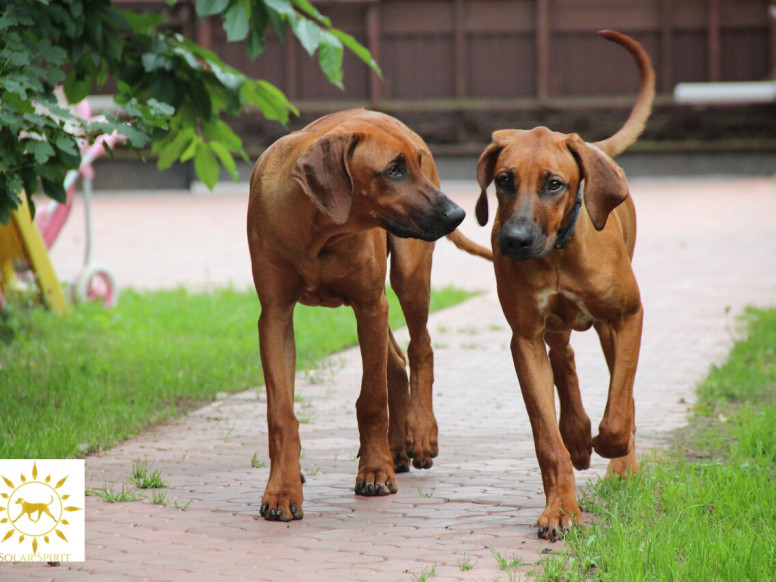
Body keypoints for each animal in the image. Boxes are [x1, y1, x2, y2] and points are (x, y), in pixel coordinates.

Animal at [249, 107, 492, 524]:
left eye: (415, 164)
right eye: (393, 170)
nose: (457, 214)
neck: (319, 229)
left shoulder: (369, 304)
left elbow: (372, 399)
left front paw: (375, 471)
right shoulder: (275, 316)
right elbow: (281, 412)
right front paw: (282, 488)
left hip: (409, 275)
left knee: (420, 348)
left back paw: (420, 434)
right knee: (394, 359)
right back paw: (398, 447)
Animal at [472, 30, 656, 544]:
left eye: (554, 184)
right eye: (503, 180)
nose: (513, 241)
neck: (557, 251)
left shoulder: (628, 317)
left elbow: (620, 408)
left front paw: (613, 447)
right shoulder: (525, 339)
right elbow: (546, 439)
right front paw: (561, 509)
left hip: (613, 327)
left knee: (620, 387)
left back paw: (619, 463)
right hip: (553, 328)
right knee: (565, 357)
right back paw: (576, 433)